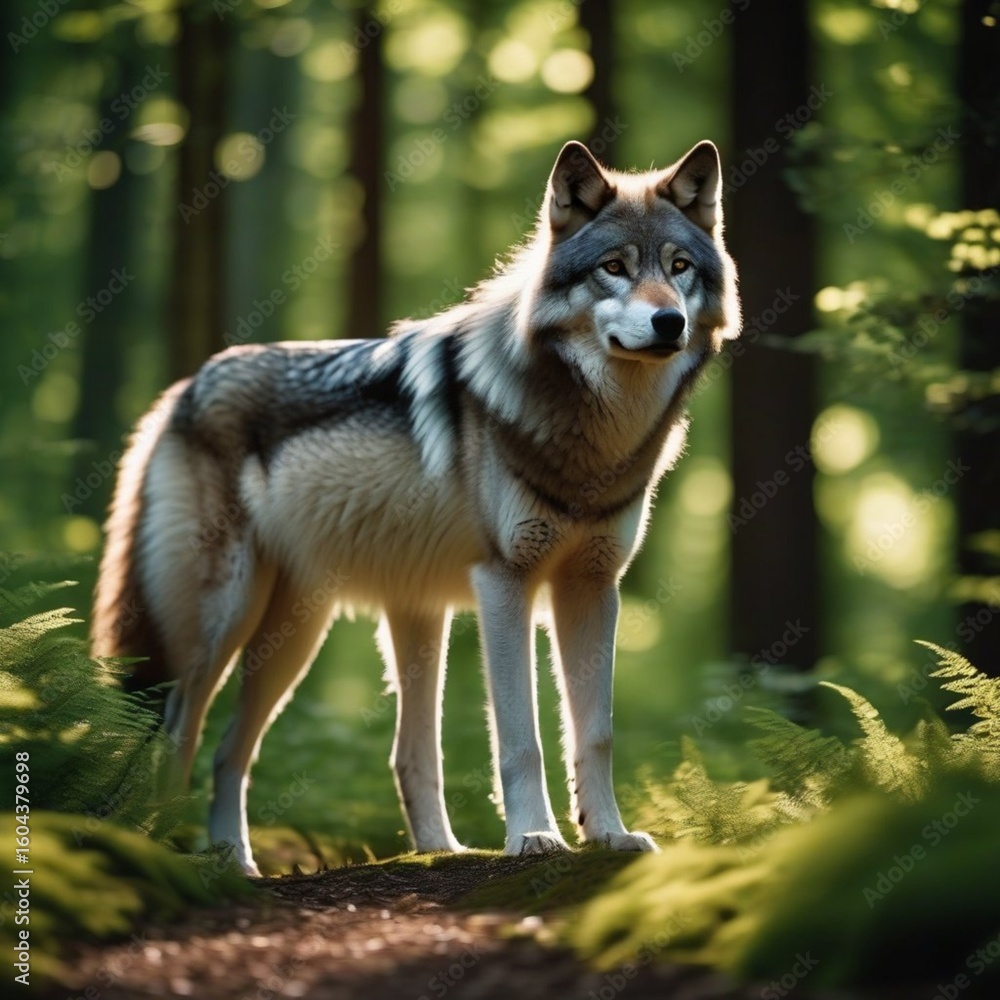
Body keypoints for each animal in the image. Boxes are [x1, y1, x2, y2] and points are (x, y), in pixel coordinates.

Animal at [92, 140, 740, 875]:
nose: (669, 321)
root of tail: (181, 391)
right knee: (179, 729)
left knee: (276, 750)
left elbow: (595, 732)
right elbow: (521, 738)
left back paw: (384, 851)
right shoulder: (505, 584)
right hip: (227, 619)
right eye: (614, 269)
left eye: (679, 268)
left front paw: (608, 835)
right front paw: (534, 837)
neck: (591, 435)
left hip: (334, 630)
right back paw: (179, 849)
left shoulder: (593, 587)